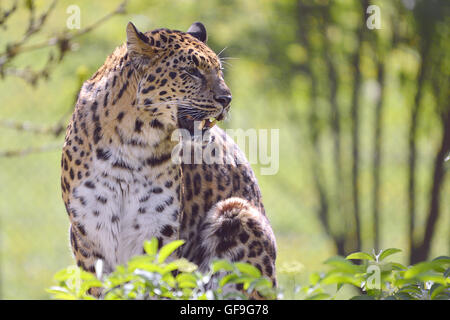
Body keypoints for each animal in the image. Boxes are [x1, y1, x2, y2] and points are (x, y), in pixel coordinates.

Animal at [59, 21, 278, 298]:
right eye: (192, 71)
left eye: (219, 71)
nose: (227, 99)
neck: (131, 144)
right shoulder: (89, 236)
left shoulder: (158, 232)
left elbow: (153, 281)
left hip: (237, 213)